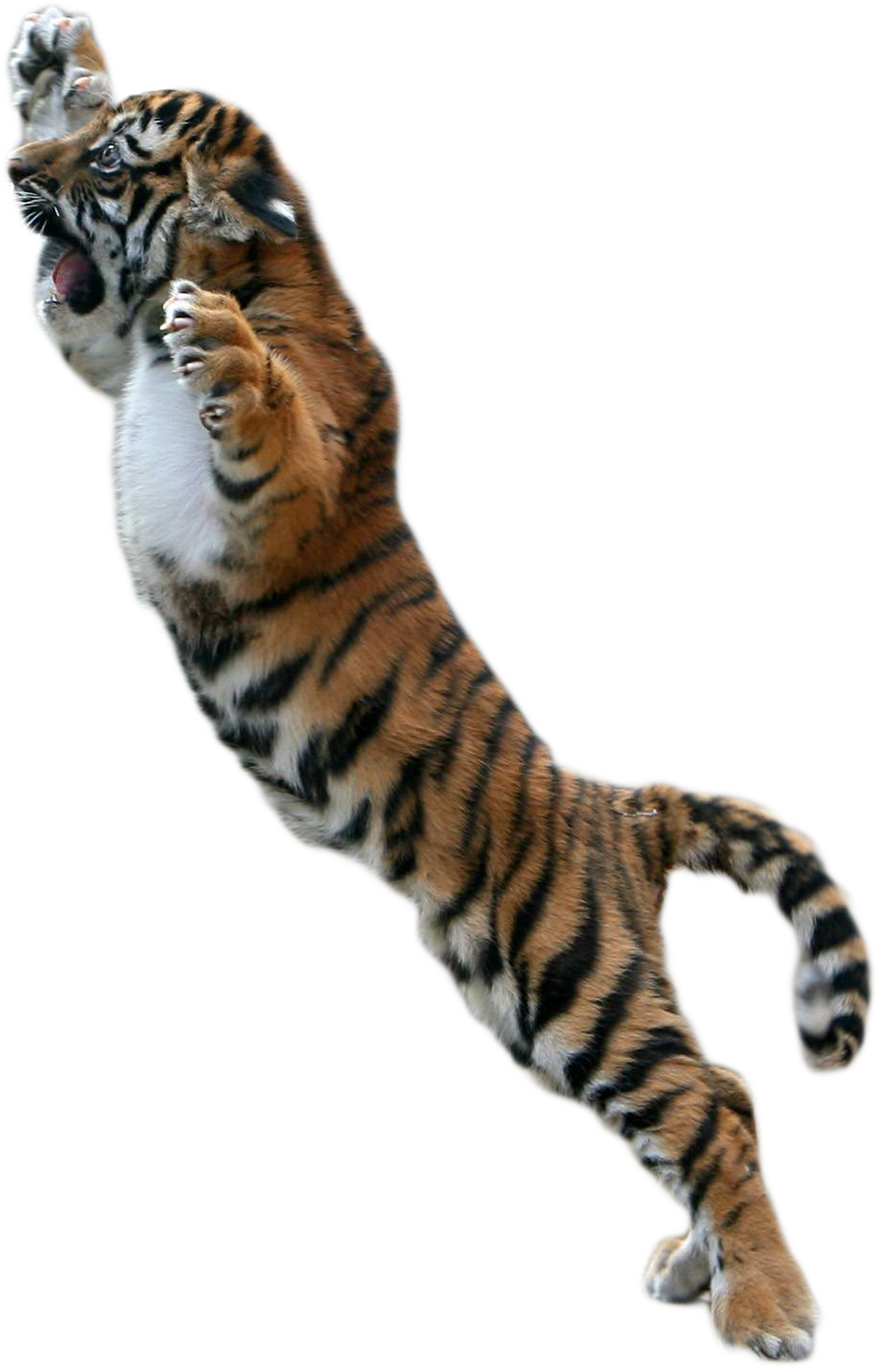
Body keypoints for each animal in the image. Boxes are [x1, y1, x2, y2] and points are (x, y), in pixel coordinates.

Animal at [8, 7, 871, 1361]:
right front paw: (58, 50)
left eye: (106, 166)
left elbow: (264, 406)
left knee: (708, 1113)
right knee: (719, 1095)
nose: (15, 175)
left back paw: (771, 1312)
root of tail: (621, 806)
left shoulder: (278, 491)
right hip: (529, 1001)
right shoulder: (105, 348)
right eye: (80, 139)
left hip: (573, 977)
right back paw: (703, 1269)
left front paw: (228, 341)